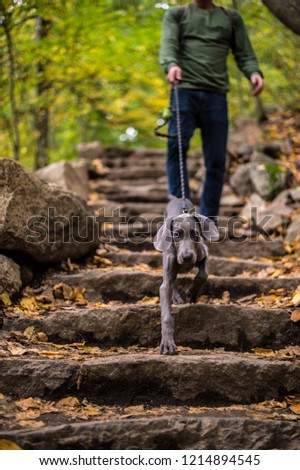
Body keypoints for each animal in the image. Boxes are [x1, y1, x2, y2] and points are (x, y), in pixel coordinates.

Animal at [154, 196, 219, 354]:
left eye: (195, 234)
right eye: (176, 235)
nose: (187, 257)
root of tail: (178, 197)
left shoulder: (204, 253)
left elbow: (203, 275)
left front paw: (192, 294)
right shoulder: (166, 279)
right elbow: (166, 315)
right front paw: (167, 344)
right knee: (173, 281)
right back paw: (176, 297)